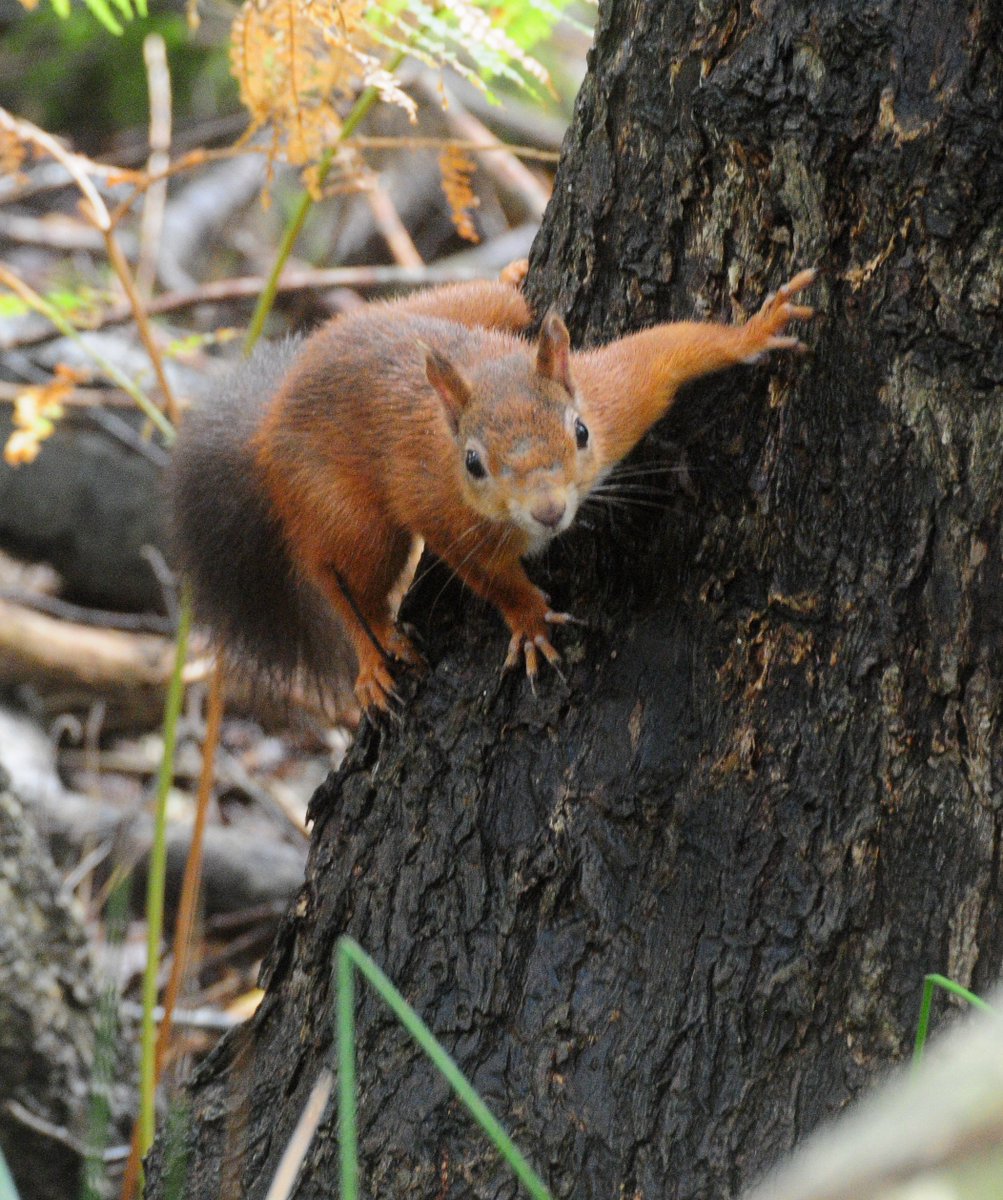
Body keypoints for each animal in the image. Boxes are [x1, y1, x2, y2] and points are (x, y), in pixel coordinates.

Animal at [169, 264, 816, 713]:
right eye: (473, 464)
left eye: (580, 431)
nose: (549, 512)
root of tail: (268, 422)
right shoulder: (446, 515)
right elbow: (488, 576)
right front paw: (527, 620)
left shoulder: (616, 400)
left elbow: (665, 351)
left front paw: (753, 332)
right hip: (342, 509)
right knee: (336, 577)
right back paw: (373, 653)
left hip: (474, 308)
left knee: (498, 298)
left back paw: (510, 270)